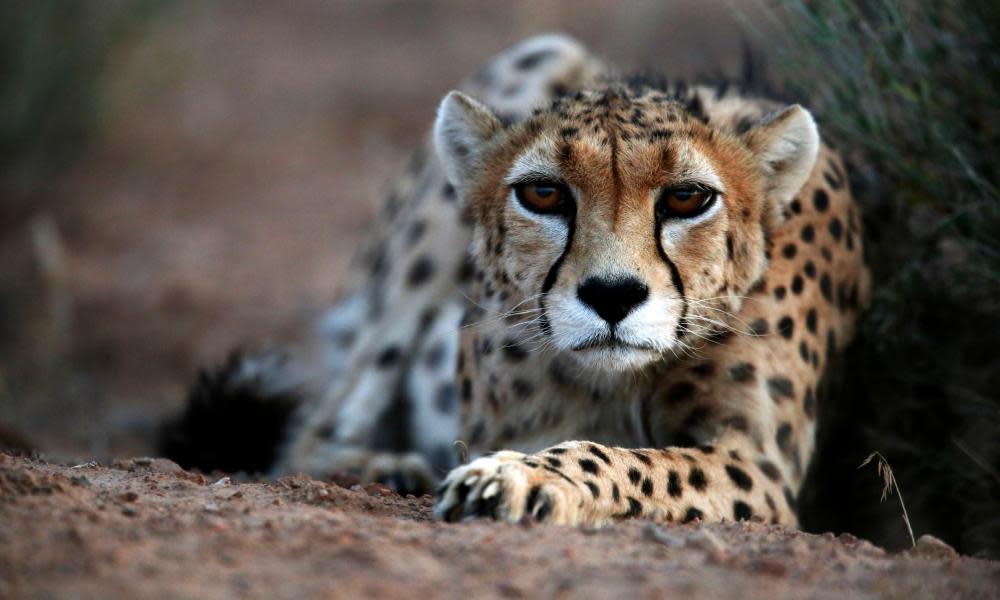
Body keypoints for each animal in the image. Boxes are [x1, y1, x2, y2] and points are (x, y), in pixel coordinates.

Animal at [162, 35, 868, 528]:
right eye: (543, 194)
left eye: (688, 198)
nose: (612, 296)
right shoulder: (497, 424)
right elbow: (609, 451)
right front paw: (511, 476)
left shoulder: (758, 463)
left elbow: (634, 460)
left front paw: (522, 481)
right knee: (310, 430)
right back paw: (383, 467)